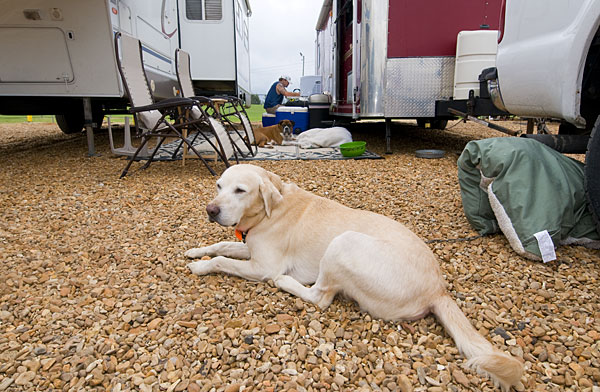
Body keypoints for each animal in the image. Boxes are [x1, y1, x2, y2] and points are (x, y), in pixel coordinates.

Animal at [185, 164, 524, 390]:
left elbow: (221, 259)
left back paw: (287, 283)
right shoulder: (249, 248)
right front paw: (194, 251)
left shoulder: (262, 266)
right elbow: (221, 246)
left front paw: (201, 266)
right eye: (218, 186)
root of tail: (437, 289)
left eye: (240, 190)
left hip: (342, 243)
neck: (270, 208)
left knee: (320, 297)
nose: (210, 210)